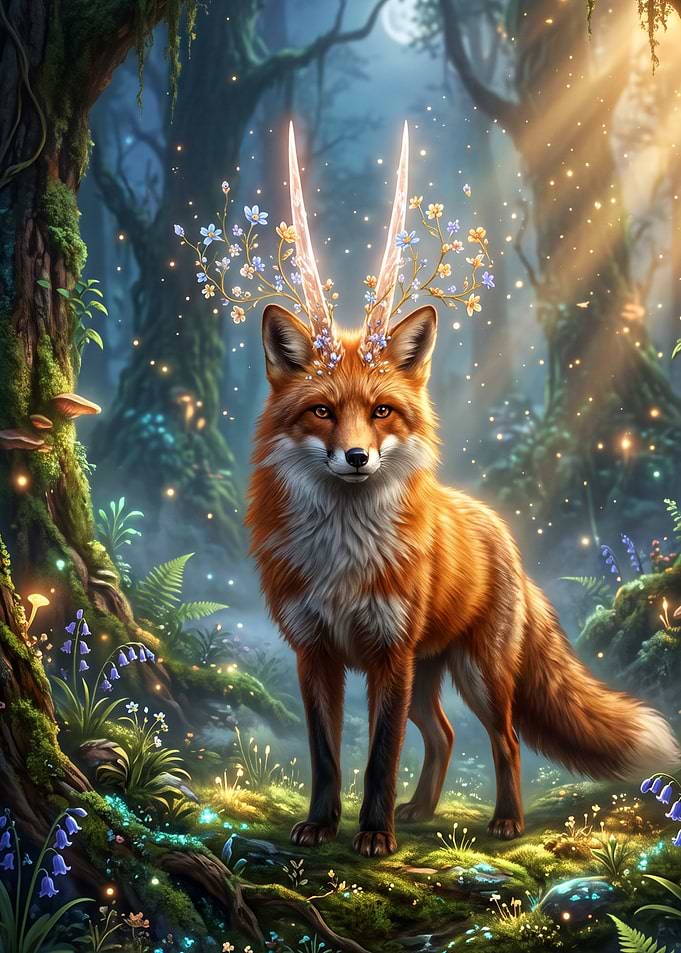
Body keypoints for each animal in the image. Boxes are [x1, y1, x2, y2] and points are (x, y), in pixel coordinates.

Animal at [246, 125, 680, 858]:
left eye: (382, 411)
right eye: (323, 412)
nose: (356, 457)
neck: (343, 559)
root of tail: (501, 531)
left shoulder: (387, 655)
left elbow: (380, 755)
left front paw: (374, 834)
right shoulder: (315, 653)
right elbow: (326, 754)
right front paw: (321, 825)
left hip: (476, 674)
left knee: (503, 741)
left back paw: (505, 821)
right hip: (428, 677)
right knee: (445, 735)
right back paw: (422, 809)